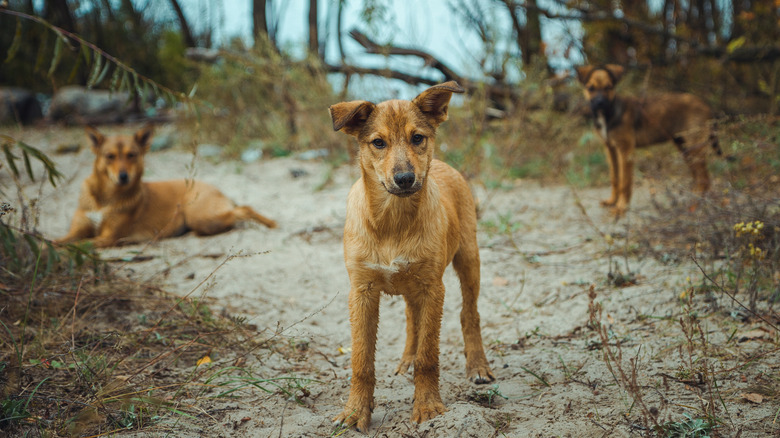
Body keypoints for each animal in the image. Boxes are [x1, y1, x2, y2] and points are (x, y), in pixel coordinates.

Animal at [55, 126, 274, 246]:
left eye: (131, 155)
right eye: (110, 156)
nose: (123, 176)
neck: (105, 198)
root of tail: (218, 189)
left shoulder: (107, 237)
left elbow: (77, 246)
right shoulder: (76, 231)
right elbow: (58, 242)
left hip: (199, 216)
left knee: (243, 210)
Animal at [330, 79, 494, 432]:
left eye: (418, 138)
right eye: (378, 143)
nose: (405, 179)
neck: (393, 221)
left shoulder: (433, 288)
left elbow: (429, 356)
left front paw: (428, 406)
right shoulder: (361, 291)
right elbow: (361, 360)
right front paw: (355, 411)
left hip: (468, 259)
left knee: (469, 315)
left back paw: (477, 366)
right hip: (411, 284)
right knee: (411, 319)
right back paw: (406, 359)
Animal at [576, 63, 724, 216]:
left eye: (608, 87)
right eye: (590, 88)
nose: (599, 103)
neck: (608, 114)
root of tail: (707, 106)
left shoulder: (625, 150)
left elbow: (625, 181)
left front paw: (621, 207)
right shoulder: (610, 148)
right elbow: (615, 178)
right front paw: (612, 201)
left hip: (695, 147)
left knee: (704, 179)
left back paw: (696, 204)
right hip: (684, 146)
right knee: (698, 176)